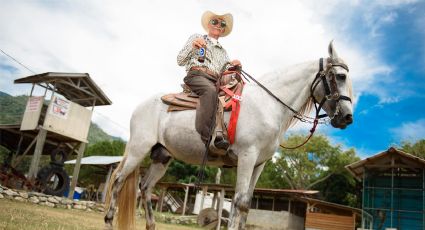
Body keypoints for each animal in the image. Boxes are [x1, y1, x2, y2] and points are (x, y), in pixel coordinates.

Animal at [104, 41, 352, 230]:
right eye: (340, 76)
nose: (347, 117)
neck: (267, 104)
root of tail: (140, 107)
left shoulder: (259, 164)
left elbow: (245, 205)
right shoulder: (247, 156)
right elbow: (240, 203)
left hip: (161, 156)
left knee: (145, 187)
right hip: (138, 149)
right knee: (118, 180)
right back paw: (108, 220)